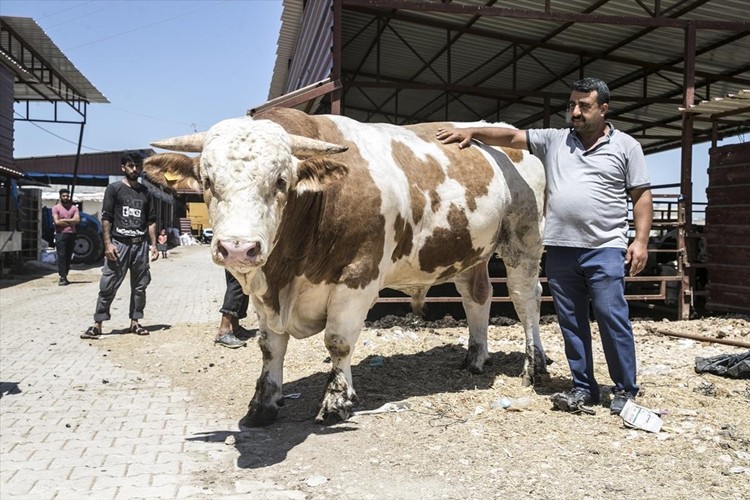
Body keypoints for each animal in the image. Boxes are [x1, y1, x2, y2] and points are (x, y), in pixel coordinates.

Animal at [144, 106, 548, 426]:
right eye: (207, 181)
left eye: (281, 180)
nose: (238, 248)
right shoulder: (265, 290)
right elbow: (270, 346)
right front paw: (263, 403)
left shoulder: (358, 276)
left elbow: (337, 341)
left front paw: (336, 400)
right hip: (470, 249)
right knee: (477, 295)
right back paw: (476, 358)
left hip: (524, 238)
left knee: (525, 297)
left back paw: (535, 367)